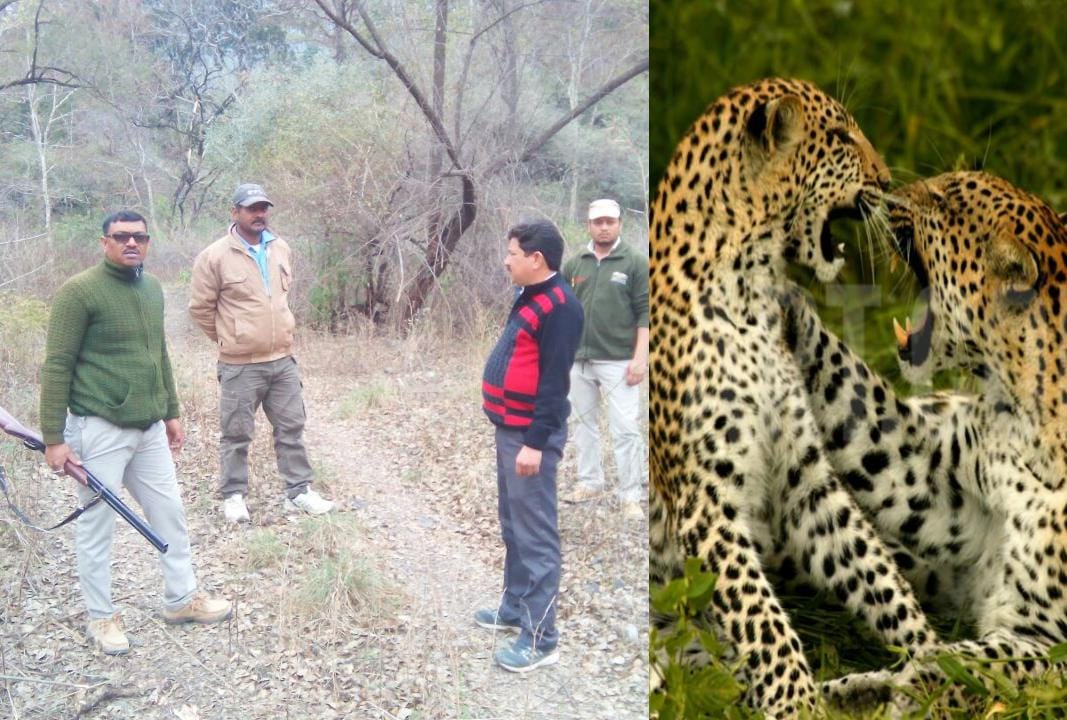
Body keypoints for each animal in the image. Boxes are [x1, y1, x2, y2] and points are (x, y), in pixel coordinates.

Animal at [648, 77, 938, 717]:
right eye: (841, 139)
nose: (887, 182)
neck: (751, 290)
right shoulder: (707, 499)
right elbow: (761, 616)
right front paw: (797, 701)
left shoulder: (804, 480)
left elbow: (871, 567)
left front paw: (943, 660)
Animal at [780, 170, 1067, 714]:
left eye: (943, 199)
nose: (887, 190)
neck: (1020, 415)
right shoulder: (935, 480)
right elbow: (851, 393)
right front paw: (783, 298)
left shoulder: (1045, 638)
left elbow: (978, 660)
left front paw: (907, 690)